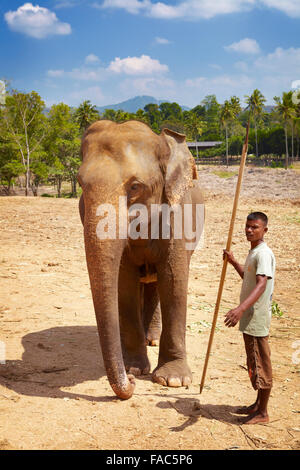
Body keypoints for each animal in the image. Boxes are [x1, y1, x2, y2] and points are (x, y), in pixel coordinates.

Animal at [77, 119, 204, 398]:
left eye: (135, 186)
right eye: (80, 184)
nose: (132, 385)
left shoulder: (177, 217)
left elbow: (174, 281)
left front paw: (174, 380)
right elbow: (124, 284)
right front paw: (134, 369)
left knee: (157, 283)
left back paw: (152, 338)